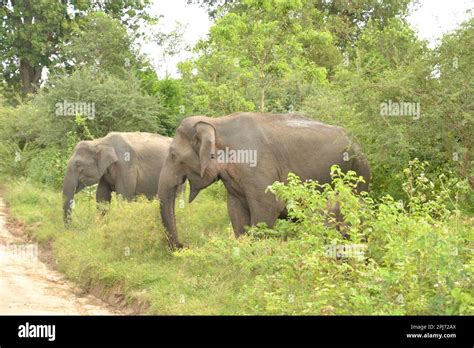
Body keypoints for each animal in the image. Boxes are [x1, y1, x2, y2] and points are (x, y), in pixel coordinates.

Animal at [156, 113, 370, 249]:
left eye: (173, 155)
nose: (183, 245)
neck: (216, 122)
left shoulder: (257, 165)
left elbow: (267, 208)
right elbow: (235, 210)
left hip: (359, 170)